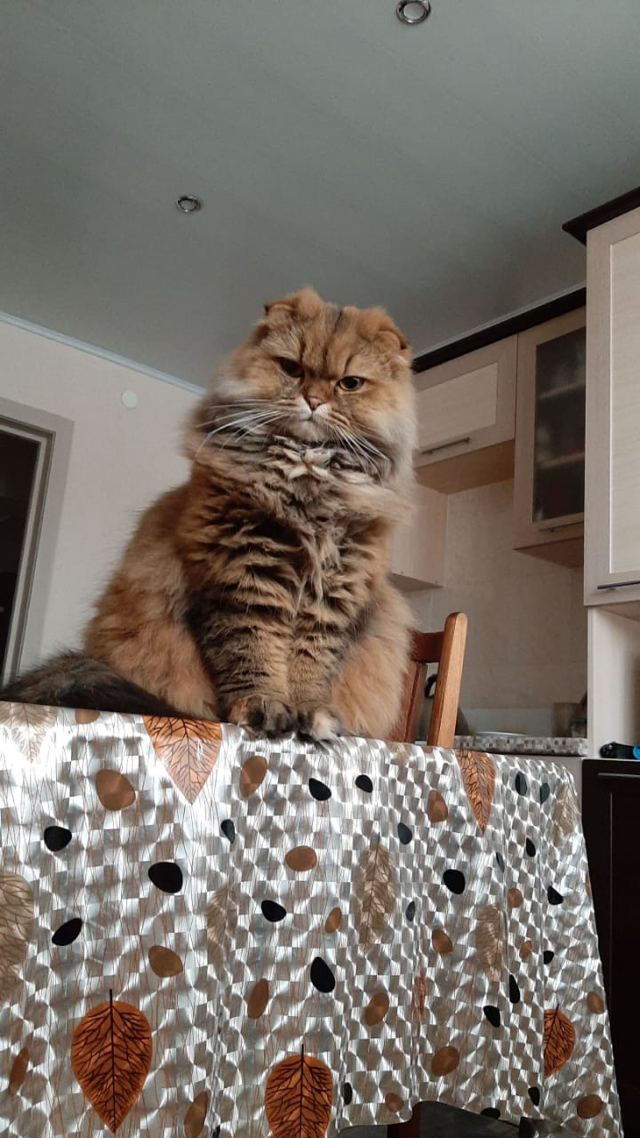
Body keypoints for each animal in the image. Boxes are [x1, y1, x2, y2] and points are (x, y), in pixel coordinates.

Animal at [2, 288, 417, 741]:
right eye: (291, 368)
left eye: (350, 384)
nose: (314, 401)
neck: (305, 485)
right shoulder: (243, 577)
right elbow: (254, 653)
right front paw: (265, 707)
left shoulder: (332, 597)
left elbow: (311, 666)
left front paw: (310, 714)